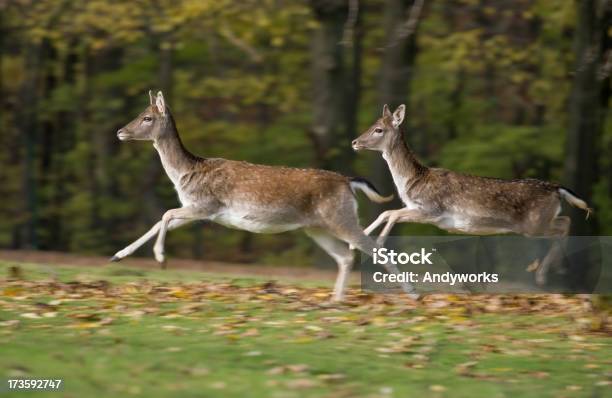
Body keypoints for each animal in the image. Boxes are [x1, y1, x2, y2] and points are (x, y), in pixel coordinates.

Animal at [107, 91, 418, 302]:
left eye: (147, 117)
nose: (120, 131)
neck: (186, 173)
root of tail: (348, 182)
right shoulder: (199, 211)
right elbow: (161, 221)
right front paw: (118, 255)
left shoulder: (204, 205)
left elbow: (165, 213)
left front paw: (160, 257)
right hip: (316, 227)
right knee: (345, 256)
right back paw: (336, 300)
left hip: (341, 218)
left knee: (372, 248)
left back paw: (412, 294)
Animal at [354, 105, 592, 286]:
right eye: (372, 126)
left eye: (378, 129)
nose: (355, 142)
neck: (413, 182)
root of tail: (557, 188)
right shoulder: (416, 208)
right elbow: (386, 212)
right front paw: (359, 238)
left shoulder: (433, 211)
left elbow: (392, 214)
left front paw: (378, 243)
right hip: (540, 221)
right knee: (565, 221)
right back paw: (552, 270)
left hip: (533, 224)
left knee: (564, 224)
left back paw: (545, 273)